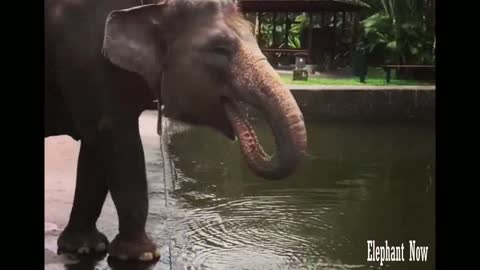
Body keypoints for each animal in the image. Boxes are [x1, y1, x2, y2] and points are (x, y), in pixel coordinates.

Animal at [45, 0, 308, 262]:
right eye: (219, 48)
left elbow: (95, 143)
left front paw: (84, 247)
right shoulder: (87, 55)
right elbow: (114, 135)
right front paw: (143, 255)